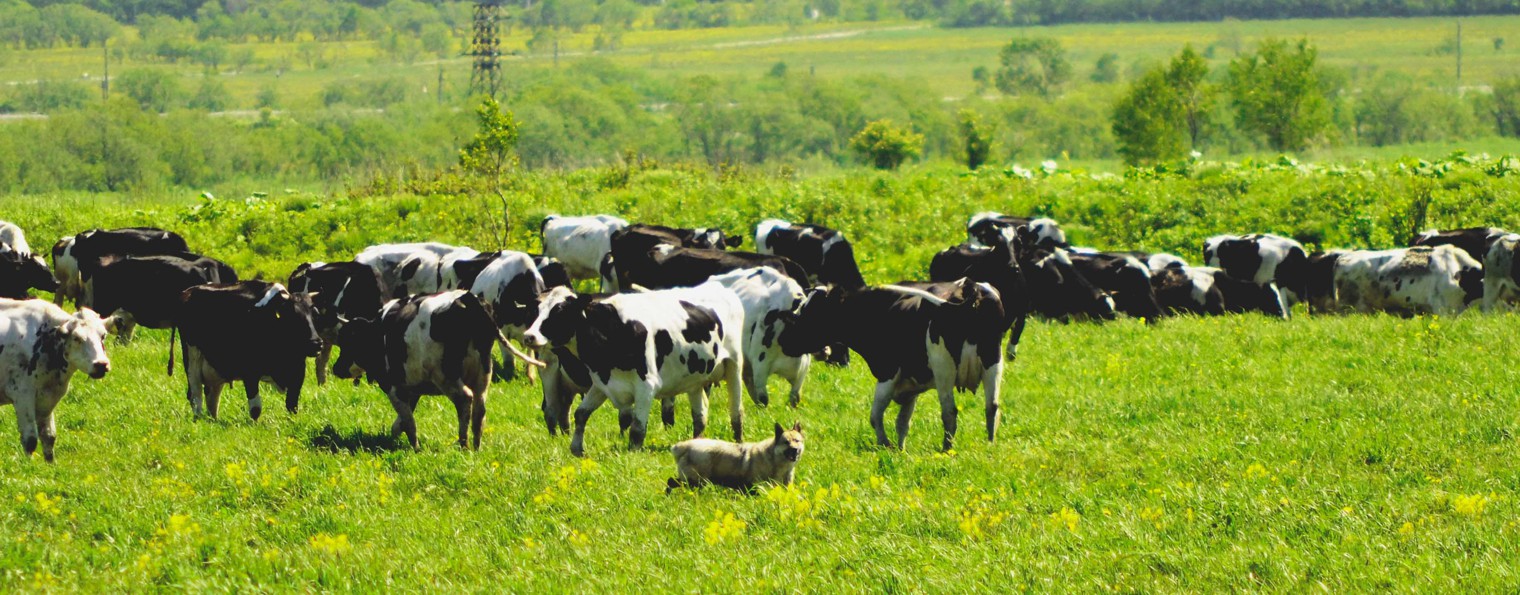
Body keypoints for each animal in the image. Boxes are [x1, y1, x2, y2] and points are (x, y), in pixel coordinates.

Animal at [0, 301, 110, 462]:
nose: (101, 364)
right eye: (77, 338)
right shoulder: (22, 395)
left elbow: (49, 436)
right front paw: (28, 466)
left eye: (103, 335)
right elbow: (30, 439)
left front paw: (50, 464)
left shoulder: (48, 398)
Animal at [176, 283, 322, 420]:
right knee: (195, 396)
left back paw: (213, 420)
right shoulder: (250, 371)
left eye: (315, 315)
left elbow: (292, 405)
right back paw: (199, 420)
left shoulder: (298, 370)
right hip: (192, 359)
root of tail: (189, 291)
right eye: (294, 316)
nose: (316, 343)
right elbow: (255, 408)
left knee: (212, 397)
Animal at [332, 290, 547, 450]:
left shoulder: (392, 386)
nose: (336, 368)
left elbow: (407, 419)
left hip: (446, 375)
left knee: (465, 400)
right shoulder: (412, 388)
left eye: (348, 342)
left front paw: (415, 447)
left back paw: (463, 444)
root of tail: (466, 298)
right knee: (479, 408)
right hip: (483, 373)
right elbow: (402, 420)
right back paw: (476, 446)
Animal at [668, 423, 808, 493]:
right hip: (694, 481)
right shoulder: (755, 486)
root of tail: (683, 446)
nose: (795, 450)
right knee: (671, 482)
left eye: (797, 441)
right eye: (786, 442)